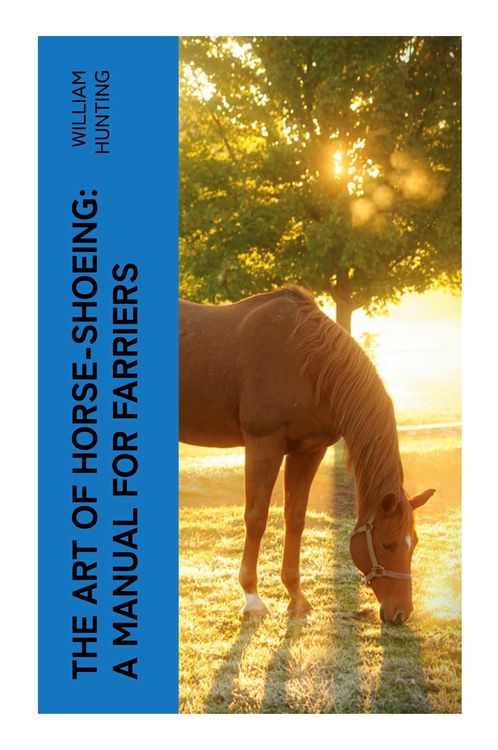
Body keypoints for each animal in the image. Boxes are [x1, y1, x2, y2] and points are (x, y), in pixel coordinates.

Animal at [179, 286, 434, 625]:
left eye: (413, 543)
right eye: (387, 543)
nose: (401, 613)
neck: (308, 363)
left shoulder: (309, 450)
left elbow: (296, 517)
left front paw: (296, 598)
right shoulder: (263, 446)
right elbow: (256, 518)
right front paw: (253, 599)